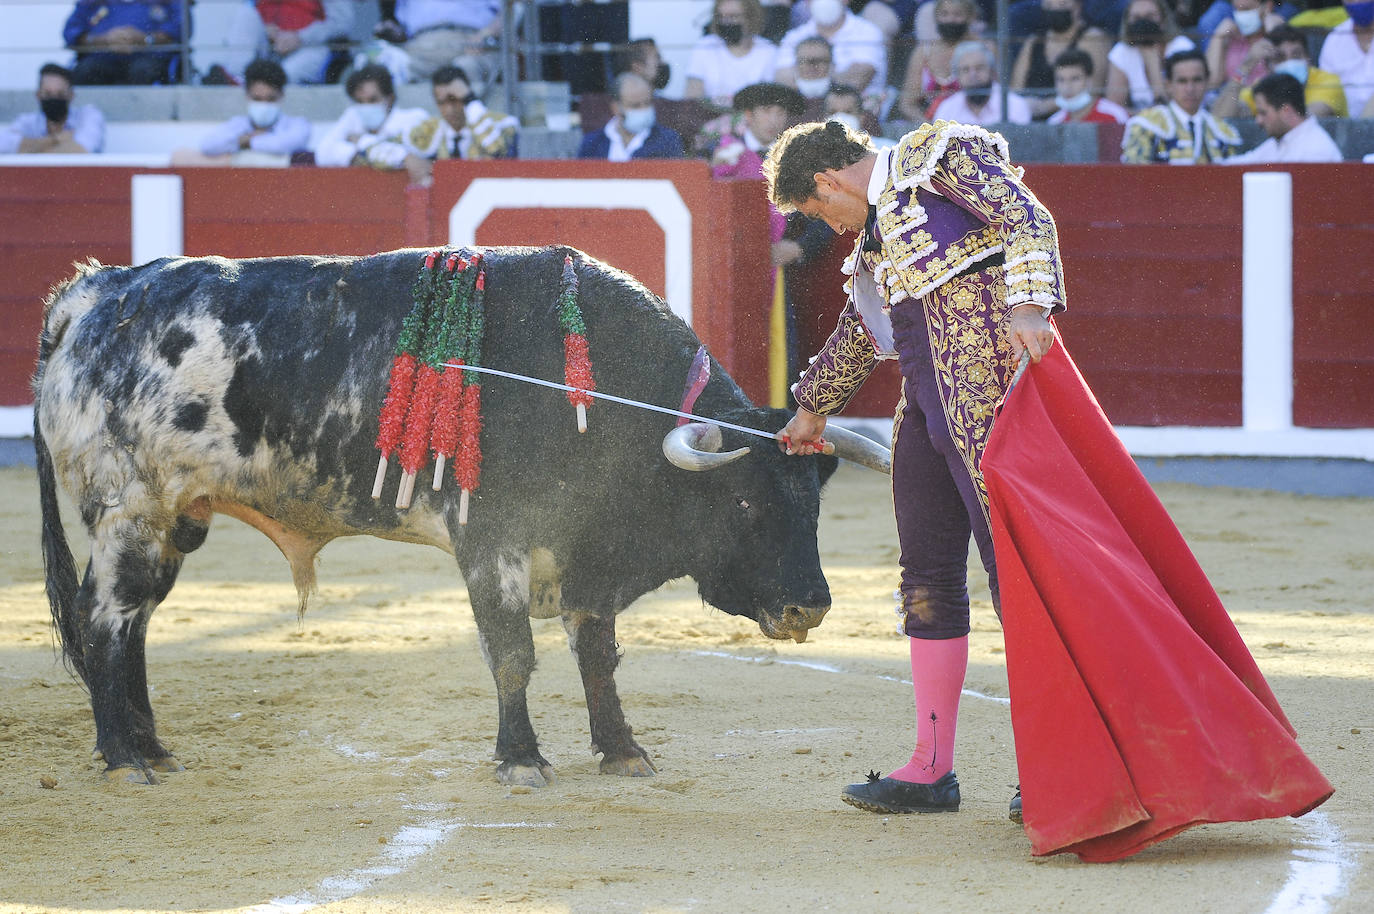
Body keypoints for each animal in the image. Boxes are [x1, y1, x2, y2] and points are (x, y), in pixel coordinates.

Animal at [34, 247, 890, 786]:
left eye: (814, 500)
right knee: (104, 621)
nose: (809, 607)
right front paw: (522, 761)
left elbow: (597, 658)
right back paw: (125, 760)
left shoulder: (586, 558)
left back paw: (152, 749)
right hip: (129, 513)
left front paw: (621, 752)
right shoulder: (493, 546)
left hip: (173, 521)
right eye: (743, 499)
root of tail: (92, 294)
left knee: (136, 626)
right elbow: (512, 656)